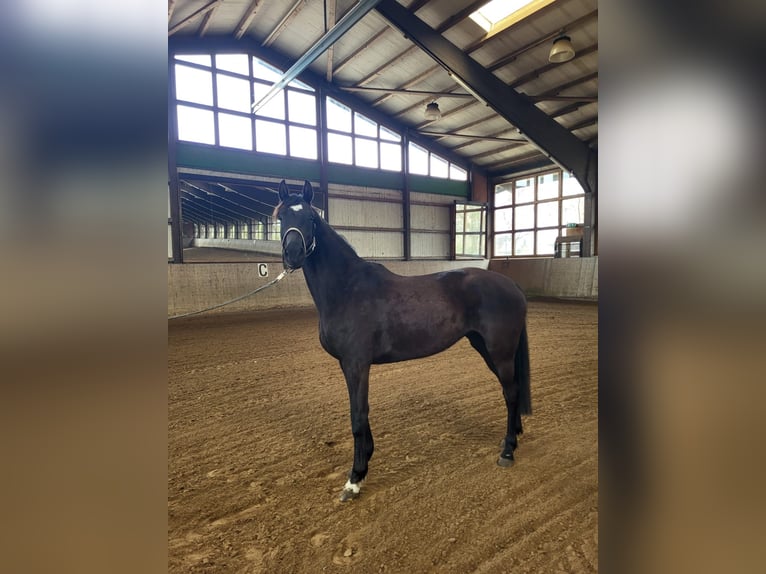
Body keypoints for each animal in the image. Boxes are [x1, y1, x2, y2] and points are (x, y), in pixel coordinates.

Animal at [275, 179, 531, 501]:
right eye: (281, 217)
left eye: (310, 218)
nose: (293, 254)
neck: (346, 288)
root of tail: (512, 285)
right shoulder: (351, 365)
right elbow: (361, 414)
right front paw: (366, 460)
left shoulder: (356, 364)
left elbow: (358, 416)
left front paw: (355, 479)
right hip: (485, 347)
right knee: (514, 389)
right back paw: (515, 436)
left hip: (500, 350)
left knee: (510, 392)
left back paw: (507, 451)